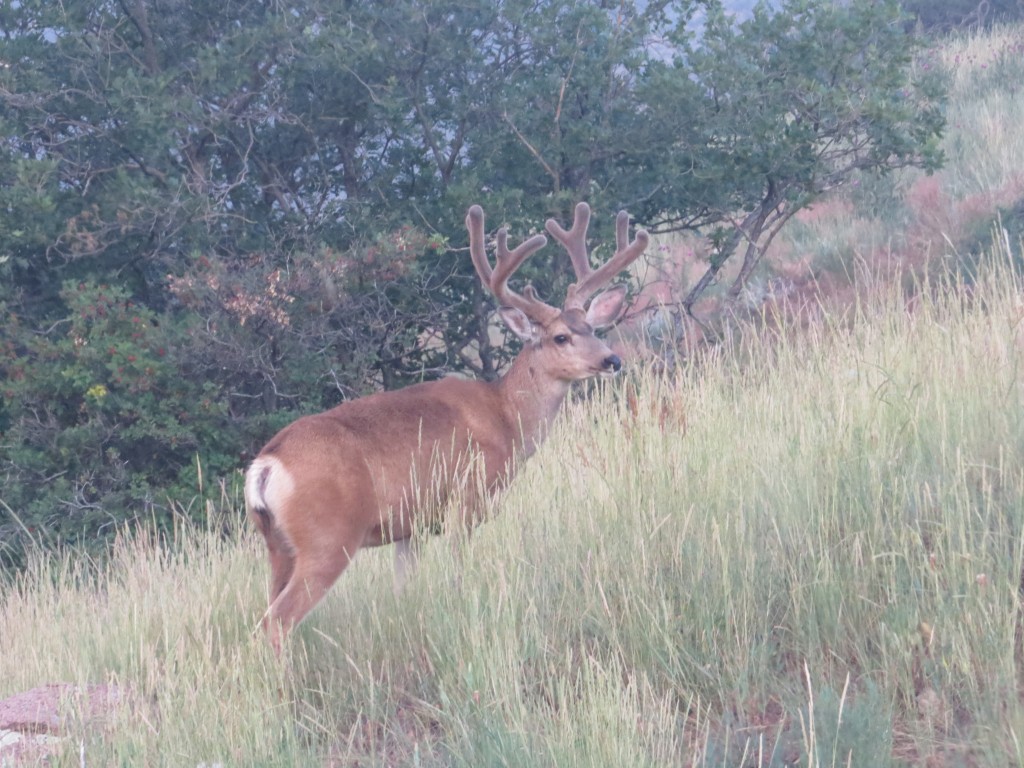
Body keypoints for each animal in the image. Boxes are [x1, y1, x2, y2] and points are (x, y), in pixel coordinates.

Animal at [242, 201, 643, 651]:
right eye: (560, 337)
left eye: (591, 328)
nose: (612, 360)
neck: (507, 418)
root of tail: (267, 464)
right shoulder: (467, 499)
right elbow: (456, 573)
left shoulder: (409, 528)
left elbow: (404, 589)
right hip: (327, 540)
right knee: (275, 623)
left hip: (277, 545)